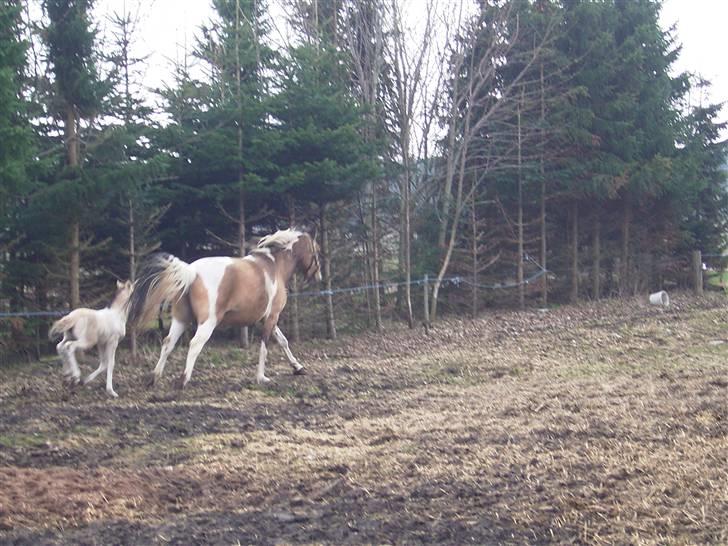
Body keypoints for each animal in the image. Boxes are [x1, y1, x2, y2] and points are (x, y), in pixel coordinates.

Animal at [129, 228, 322, 386]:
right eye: (316, 251)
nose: (318, 276)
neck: (274, 266)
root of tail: (191, 272)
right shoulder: (272, 317)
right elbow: (265, 346)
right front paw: (261, 377)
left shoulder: (266, 318)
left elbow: (283, 341)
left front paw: (298, 367)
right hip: (208, 322)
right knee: (195, 343)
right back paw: (183, 380)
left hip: (181, 319)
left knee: (168, 342)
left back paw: (154, 377)